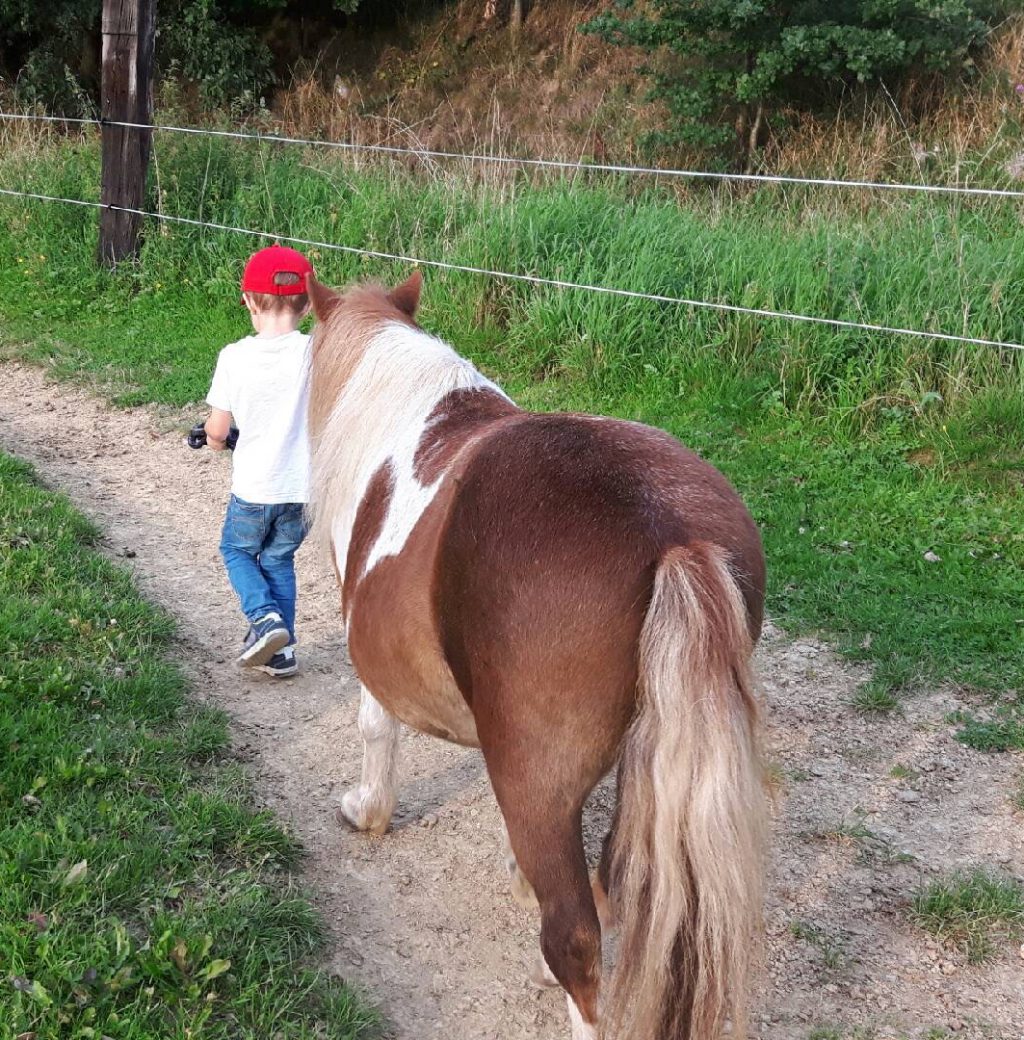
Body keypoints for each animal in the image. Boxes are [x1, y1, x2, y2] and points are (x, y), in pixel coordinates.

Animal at [303, 272, 765, 1040]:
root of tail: (670, 536)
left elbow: (375, 727)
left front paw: (368, 811)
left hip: (546, 781)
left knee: (576, 938)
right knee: (612, 885)